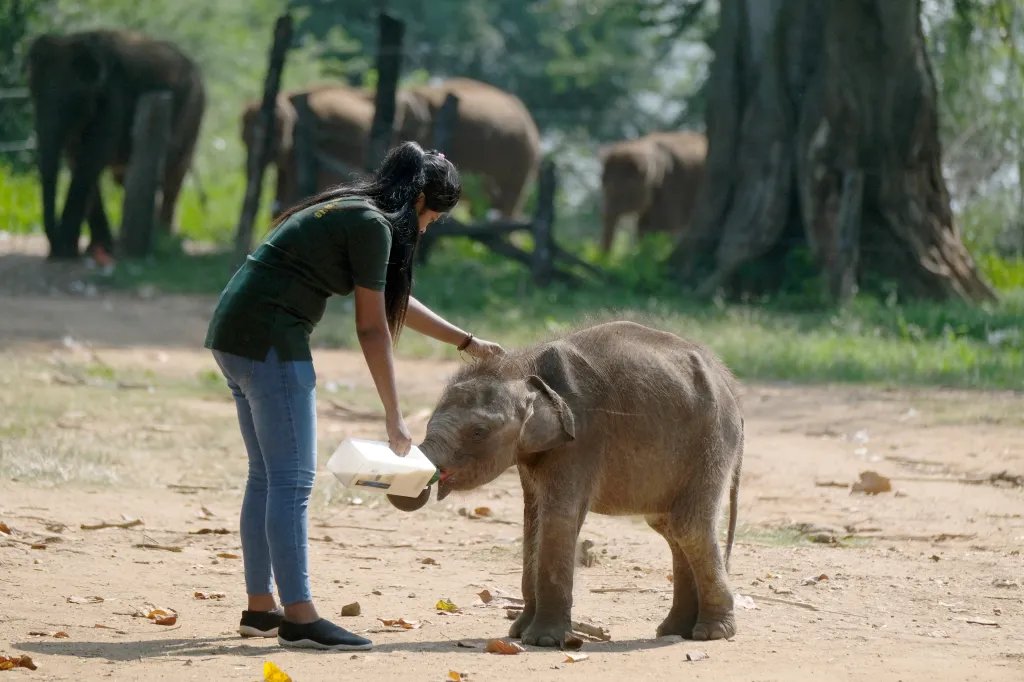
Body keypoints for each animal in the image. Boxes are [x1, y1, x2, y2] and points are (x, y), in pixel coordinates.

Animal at [26, 30, 205, 260]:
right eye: (33, 93)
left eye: (73, 101)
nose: (52, 251)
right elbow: (78, 160)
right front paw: (91, 249)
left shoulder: (113, 97)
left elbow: (92, 158)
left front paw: (67, 251)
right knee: (132, 178)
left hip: (192, 112)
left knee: (173, 175)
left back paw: (164, 240)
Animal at [394, 321, 744, 647]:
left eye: (478, 432)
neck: (526, 372)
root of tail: (729, 383)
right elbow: (532, 520)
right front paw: (519, 633)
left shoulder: (581, 439)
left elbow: (558, 517)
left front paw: (543, 641)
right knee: (668, 527)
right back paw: (674, 630)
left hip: (709, 444)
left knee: (689, 526)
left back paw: (712, 633)